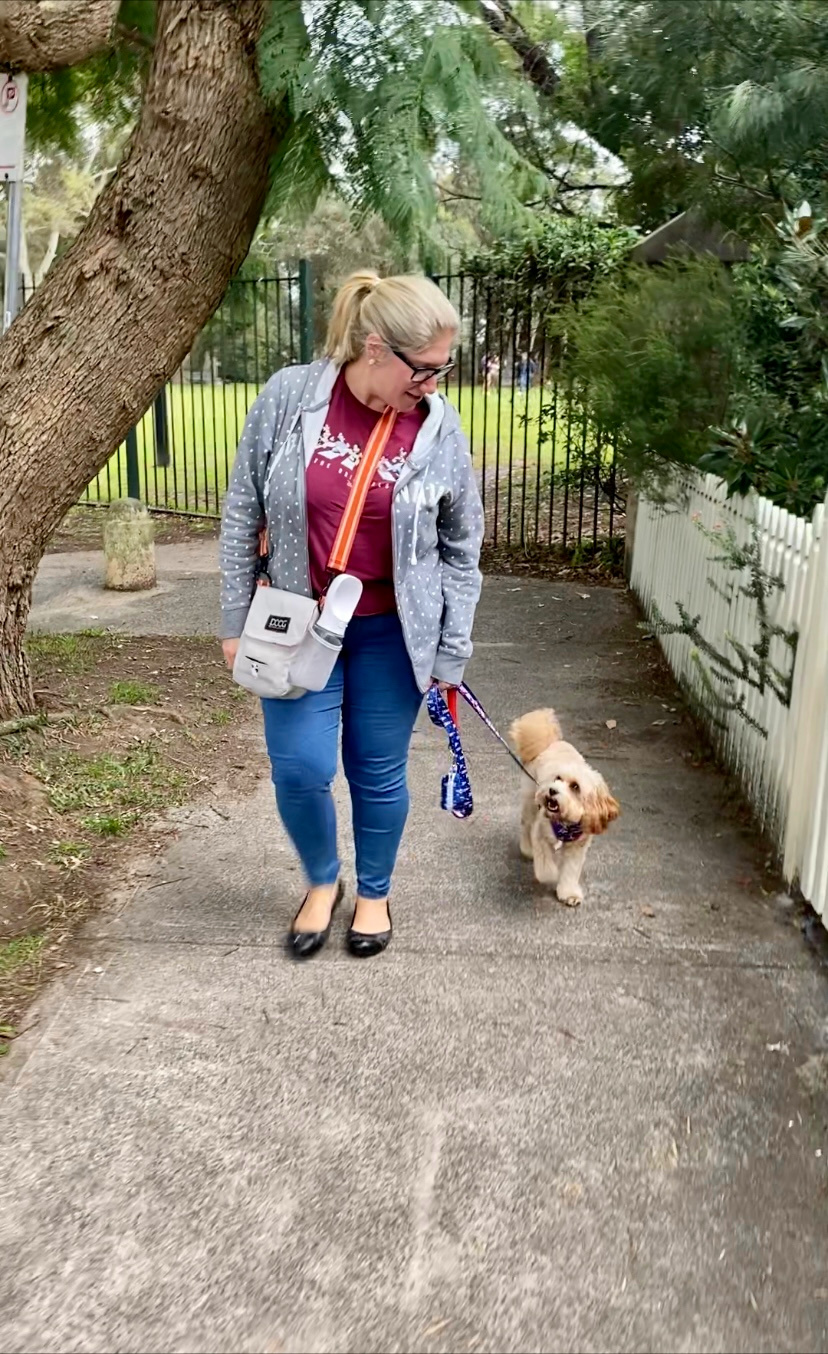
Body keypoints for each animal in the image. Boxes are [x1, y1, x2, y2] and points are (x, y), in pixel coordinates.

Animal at [508, 709, 616, 909]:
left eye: (575, 787)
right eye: (557, 778)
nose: (552, 790)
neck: (565, 822)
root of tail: (551, 743)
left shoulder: (577, 848)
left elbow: (570, 872)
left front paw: (569, 893)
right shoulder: (541, 835)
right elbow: (545, 866)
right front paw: (551, 875)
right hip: (530, 800)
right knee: (525, 825)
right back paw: (527, 849)